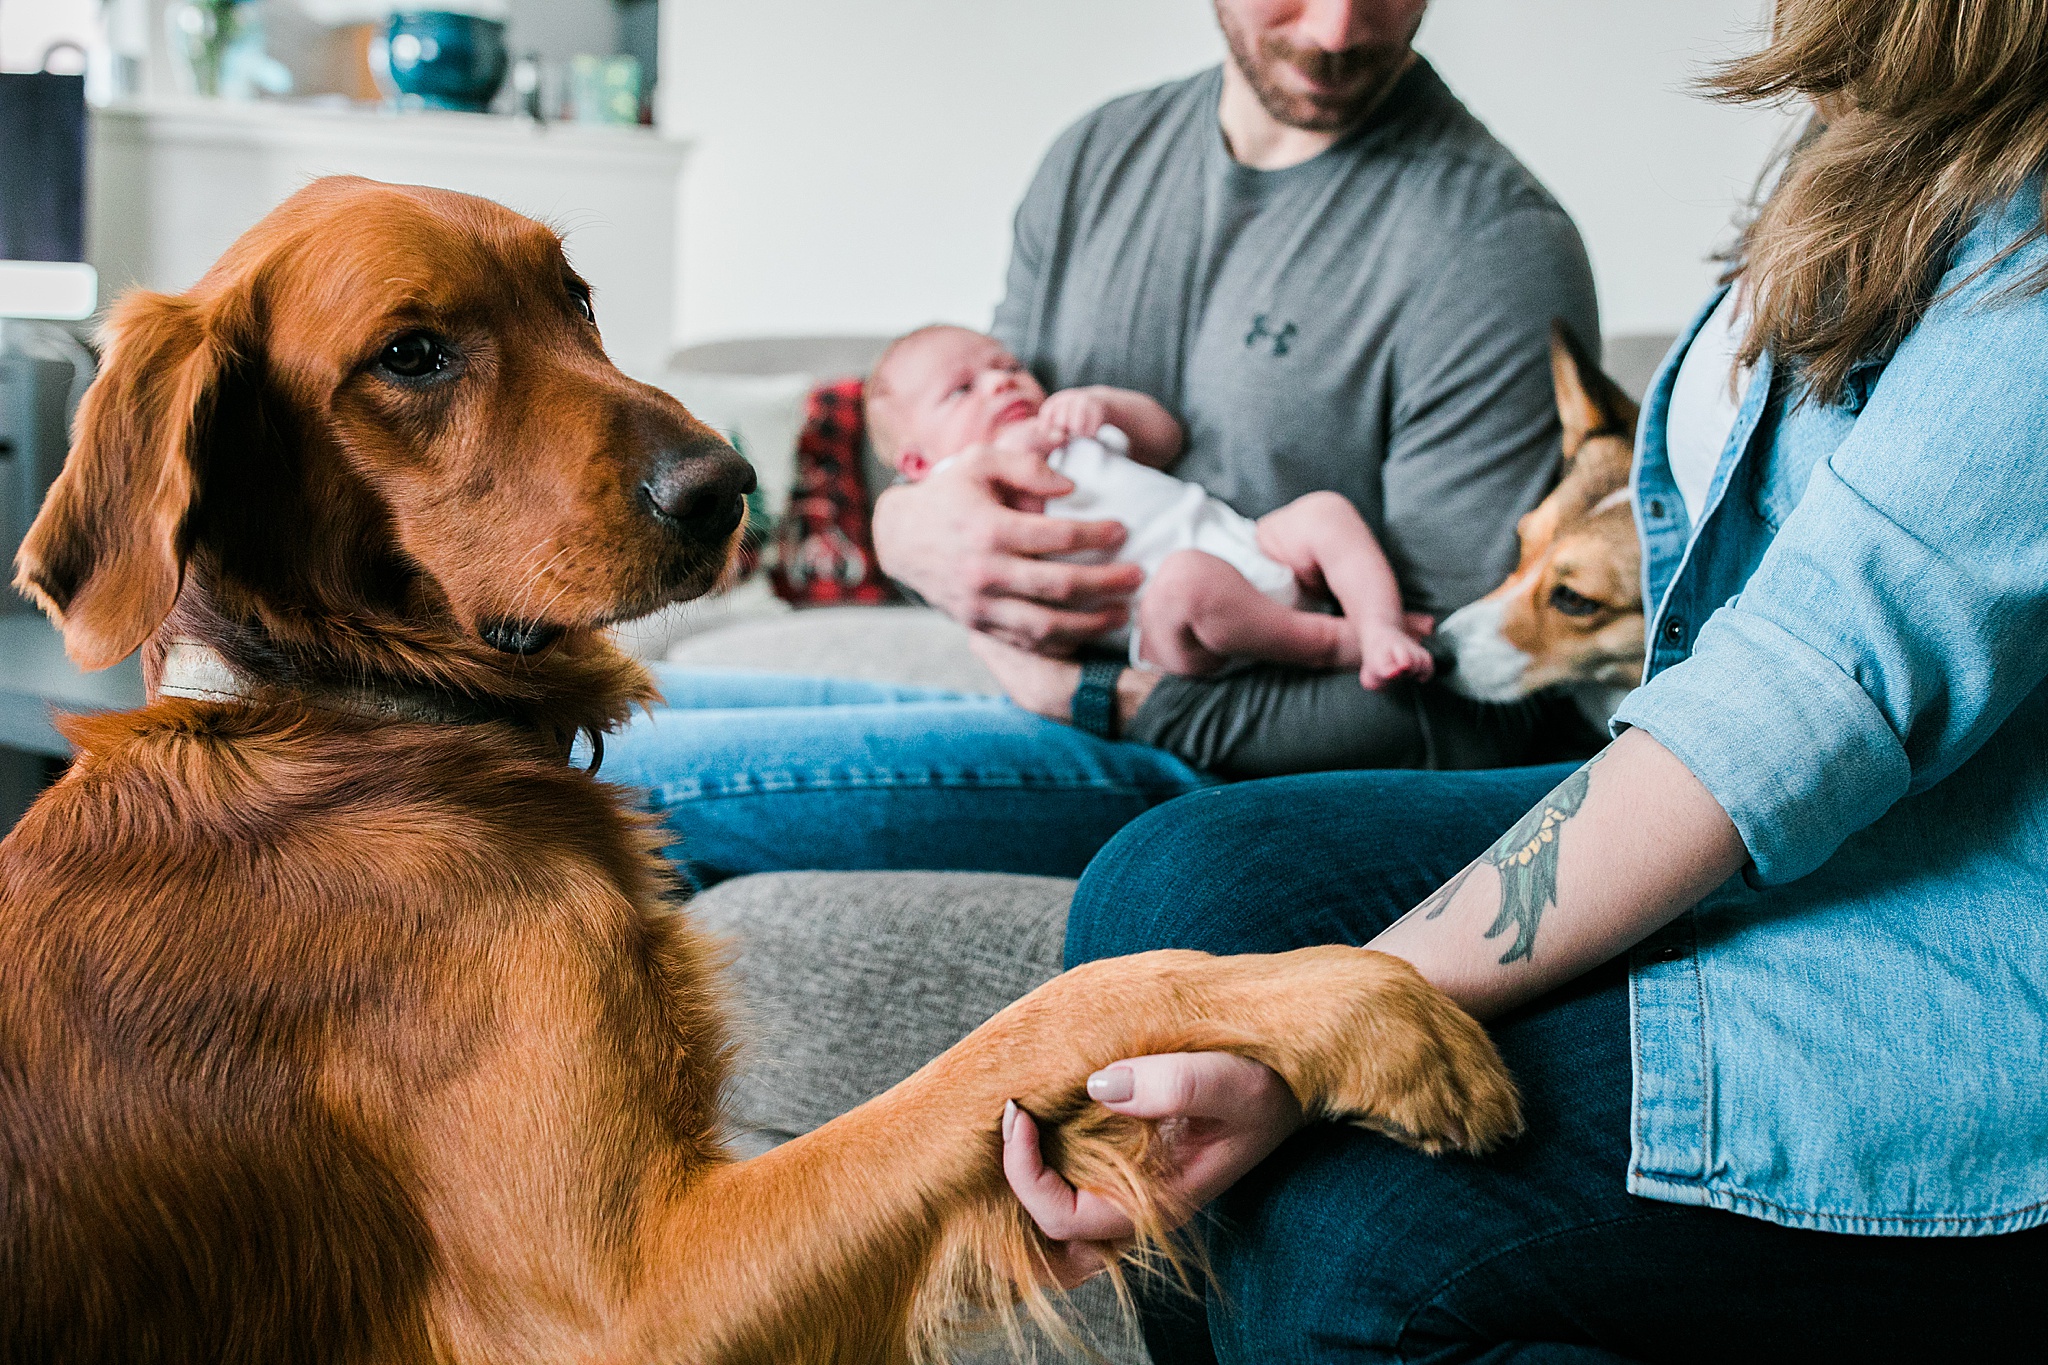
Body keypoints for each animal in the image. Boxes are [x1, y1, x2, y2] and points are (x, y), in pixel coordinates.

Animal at [4, 181, 1523, 1365]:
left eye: (577, 297)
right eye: (414, 354)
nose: (729, 488)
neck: (356, 716)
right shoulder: (625, 1300)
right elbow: (1049, 1013)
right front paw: (1357, 1008)